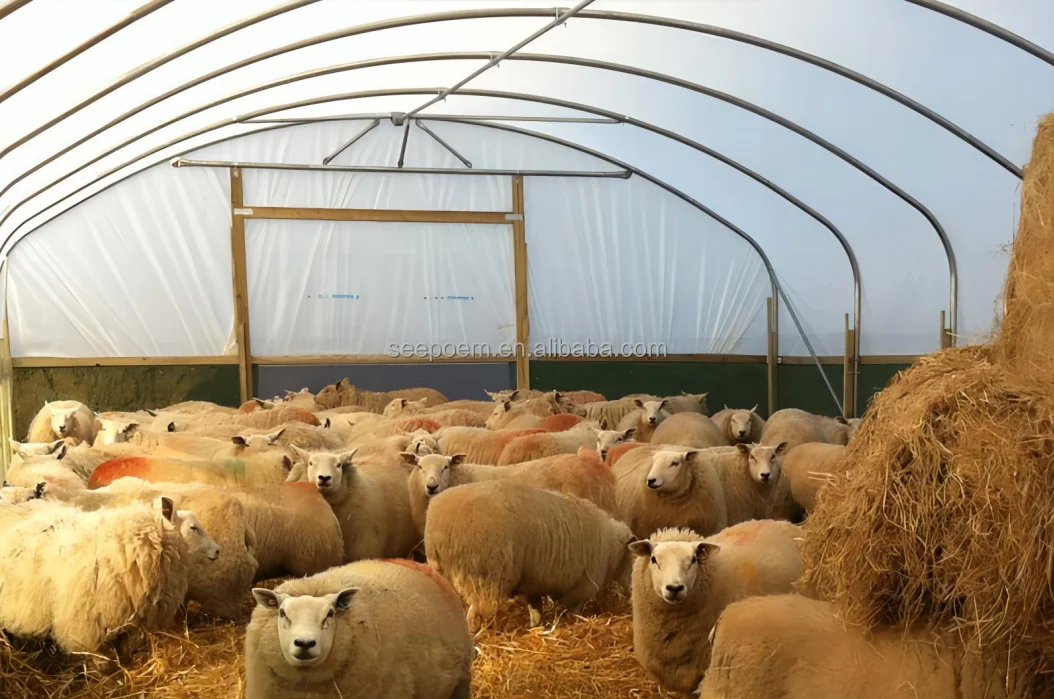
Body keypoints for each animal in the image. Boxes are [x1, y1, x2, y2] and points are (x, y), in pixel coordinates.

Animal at [245, 559, 472, 699]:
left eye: (330, 614)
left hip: (460, 682)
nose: (305, 643)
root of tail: (418, 563)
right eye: (282, 613)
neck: (307, 687)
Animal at [425, 479, 635, 631]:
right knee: (476, 611)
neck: (612, 550)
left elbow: (536, 610)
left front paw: (536, 626)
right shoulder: (581, 587)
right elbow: (574, 612)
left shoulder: (534, 584)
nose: (632, 589)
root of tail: (438, 529)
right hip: (484, 577)